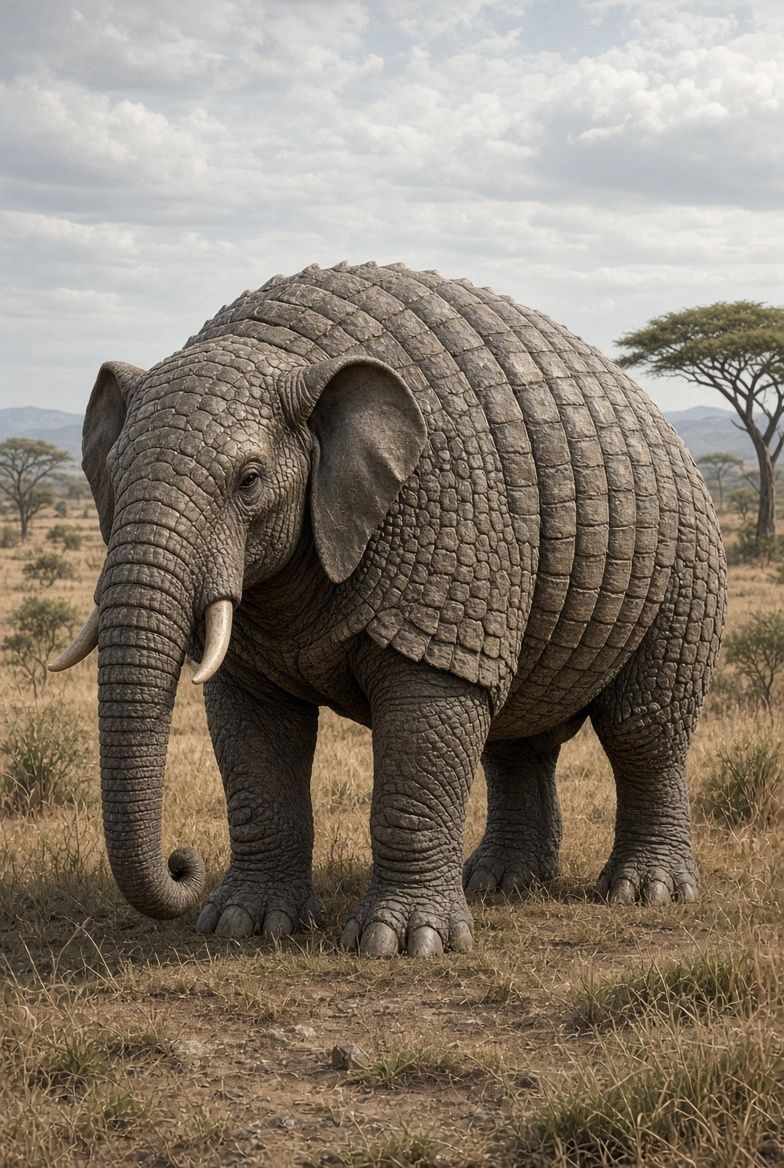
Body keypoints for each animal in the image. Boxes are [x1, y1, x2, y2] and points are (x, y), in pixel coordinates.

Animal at [51, 261, 726, 958]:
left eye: (249, 480)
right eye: (112, 473)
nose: (183, 861)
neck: (292, 353)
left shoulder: (455, 528)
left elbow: (422, 738)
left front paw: (401, 943)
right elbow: (255, 753)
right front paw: (247, 925)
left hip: (687, 567)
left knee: (644, 732)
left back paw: (646, 892)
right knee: (515, 738)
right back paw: (501, 884)